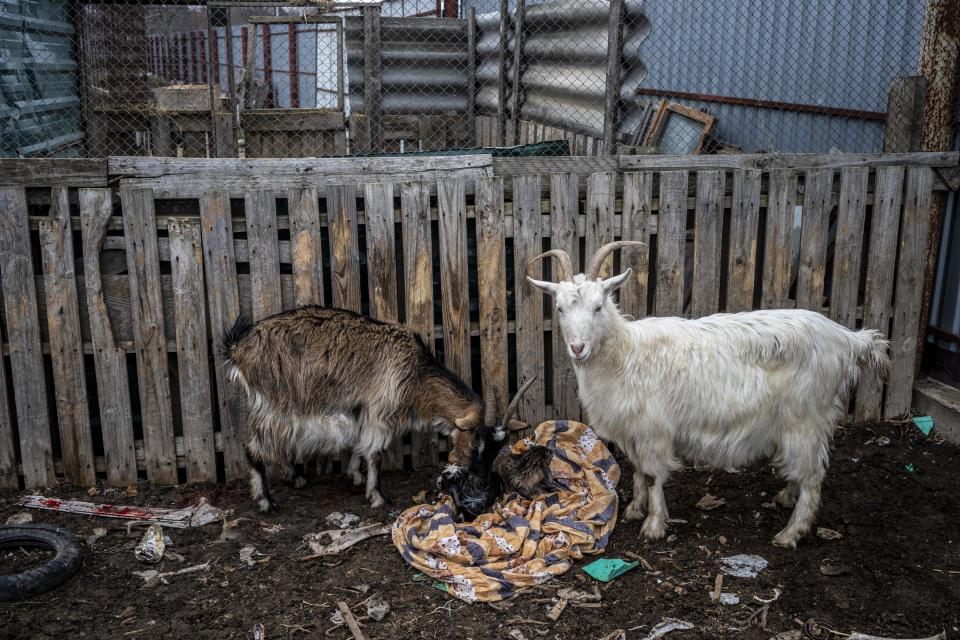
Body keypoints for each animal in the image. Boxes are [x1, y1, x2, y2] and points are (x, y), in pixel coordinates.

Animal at [222, 308, 506, 512]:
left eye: (497, 448)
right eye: (476, 442)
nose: (482, 482)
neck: (417, 375)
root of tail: (238, 349)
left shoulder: (362, 410)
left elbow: (359, 445)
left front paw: (354, 476)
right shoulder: (380, 410)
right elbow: (375, 453)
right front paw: (377, 496)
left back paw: (296, 479)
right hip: (274, 405)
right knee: (254, 449)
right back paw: (265, 501)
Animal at [528, 242, 888, 548]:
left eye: (598, 306)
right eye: (559, 308)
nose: (578, 348)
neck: (625, 355)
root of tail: (847, 339)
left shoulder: (653, 431)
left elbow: (653, 475)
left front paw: (653, 525)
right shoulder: (633, 431)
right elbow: (639, 472)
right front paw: (634, 510)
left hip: (805, 417)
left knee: (813, 476)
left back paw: (790, 533)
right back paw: (787, 496)